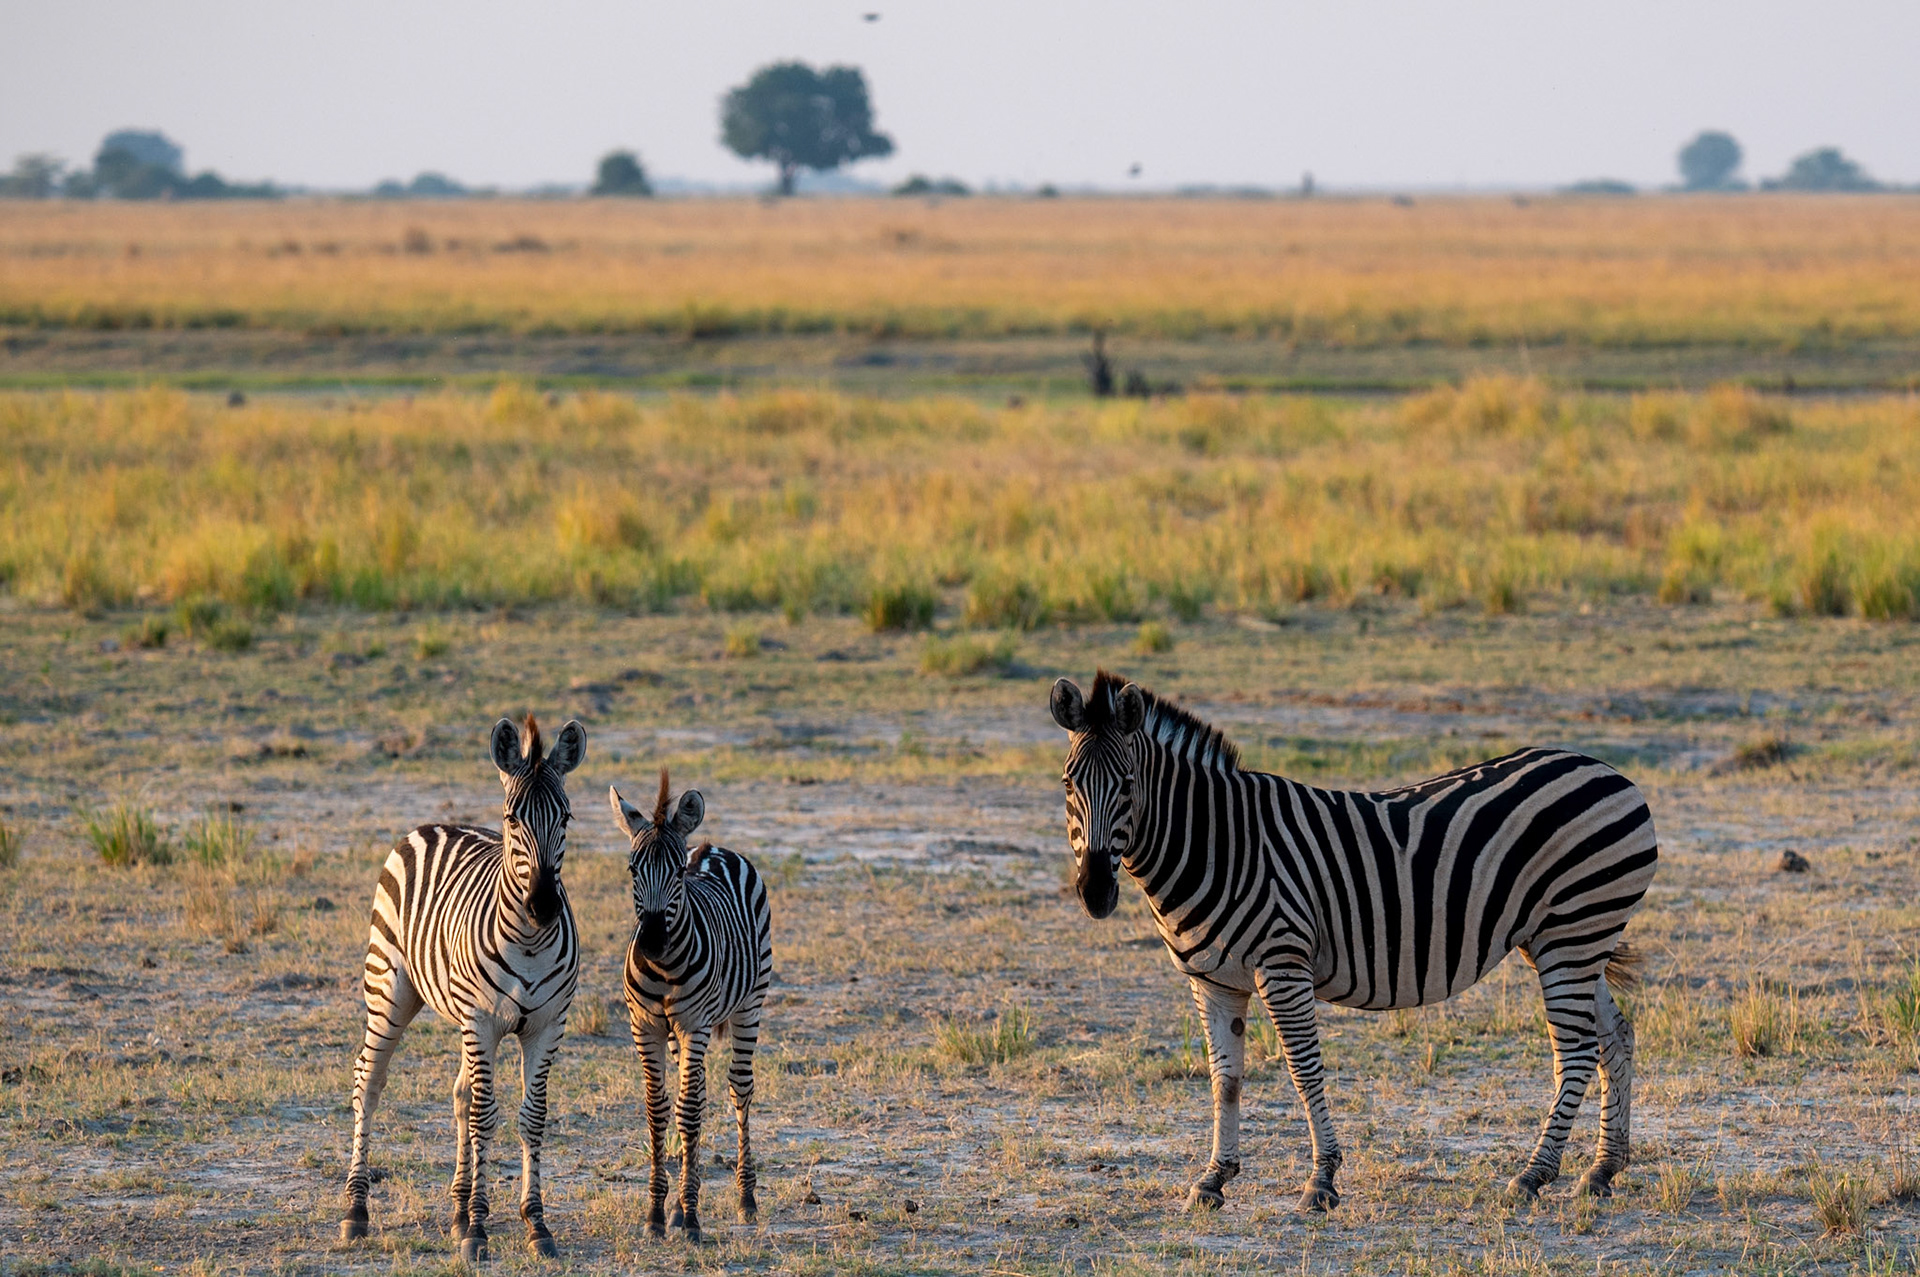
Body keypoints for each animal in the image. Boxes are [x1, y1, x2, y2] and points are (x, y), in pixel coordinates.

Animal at [341, 716, 585, 1262]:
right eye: (513, 819)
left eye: (565, 817)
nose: (543, 906)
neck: (530, 940)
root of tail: (433, 824)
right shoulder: (483, 1020)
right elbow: (485, 1116)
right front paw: (478, 1229)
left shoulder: (546, 1026)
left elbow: (530, 1117)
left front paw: (535, 1223)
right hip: (390, 990)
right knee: (369, 1082)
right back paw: (356, 1211)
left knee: (459, 1095)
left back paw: (454, 1208)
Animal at [610, 770, 773, 1243]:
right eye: (632, 869)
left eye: (678, 872)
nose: (651, 942)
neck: (664, 968)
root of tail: (711, 847)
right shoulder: (645, 1027)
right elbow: (659, 1109)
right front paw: (659, 1213)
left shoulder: (694, 1024)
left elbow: (688, 1111)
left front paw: (693, 1218)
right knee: (695, 1090)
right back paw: (683, 1205)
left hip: (750, 1003)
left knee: (738, 1087)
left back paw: (745, 1198)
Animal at [1049, 672, 1657, 1213]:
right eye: (1067, 784)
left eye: (1129, 785)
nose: (1095, 892)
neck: (1218, 843)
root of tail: (1609, 771)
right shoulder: (1212, 981)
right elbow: (1226, 1079)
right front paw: (1213, 1179)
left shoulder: (1283, 964)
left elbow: (1303, 1069)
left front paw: (1322, 1181)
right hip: (1570, 940)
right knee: (1615, 1035)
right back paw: (1602, 1170)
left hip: (1571, 934)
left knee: (1575, 1050)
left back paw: (1533, 1176)